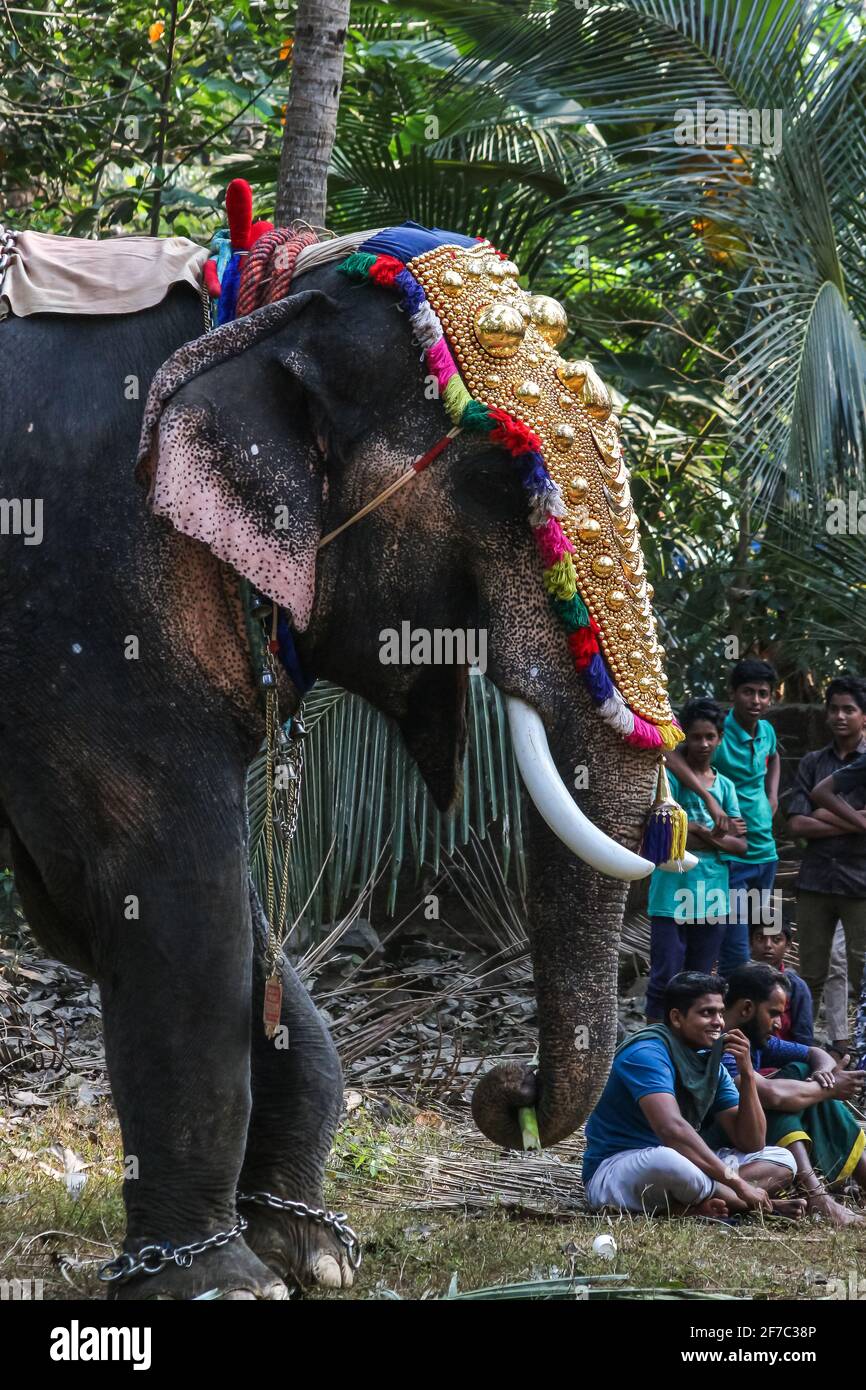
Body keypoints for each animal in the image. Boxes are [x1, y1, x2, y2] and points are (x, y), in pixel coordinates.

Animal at [1, 211, 692, 1295]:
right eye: (503, 480)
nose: (503, 1096)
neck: (256, 309)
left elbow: (140, 912)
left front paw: (308, 1250)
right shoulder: (87, 594)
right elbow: (165, 894)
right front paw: (222, 1282)